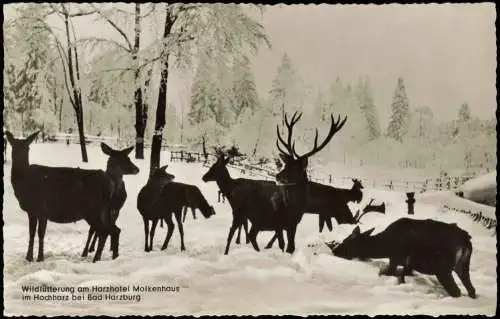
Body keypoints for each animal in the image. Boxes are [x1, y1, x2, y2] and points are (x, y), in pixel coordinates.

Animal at [5, 131, 140, 264]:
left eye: (28, 147)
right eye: (13, 146)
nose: (136, 169)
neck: (24, 181)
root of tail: (111, 184)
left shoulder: (40, 209)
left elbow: (39, 233)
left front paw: (38, 258)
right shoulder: (34, 211)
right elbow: (33, 233)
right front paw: (30, 257)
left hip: (94, 210)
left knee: (105, 231)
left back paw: (96, 259)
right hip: (104, 211)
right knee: (115, 230)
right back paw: (113, 256)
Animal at [274, 112, 348, 255]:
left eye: (294, 168)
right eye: (286, 164)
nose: (277, 176)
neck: (293, 206)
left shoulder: (295, 220)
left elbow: (290, 245)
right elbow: (286, 244)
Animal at [328, 219, 476, 298]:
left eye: (346, 241)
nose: (335, 251)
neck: (384, 247)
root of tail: (465, 241)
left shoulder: (395, 257)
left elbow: (387, 272)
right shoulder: (408, 264)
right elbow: (403, 274)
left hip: (442, 267)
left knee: (456, 291)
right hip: (463, 266)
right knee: (471, 289)